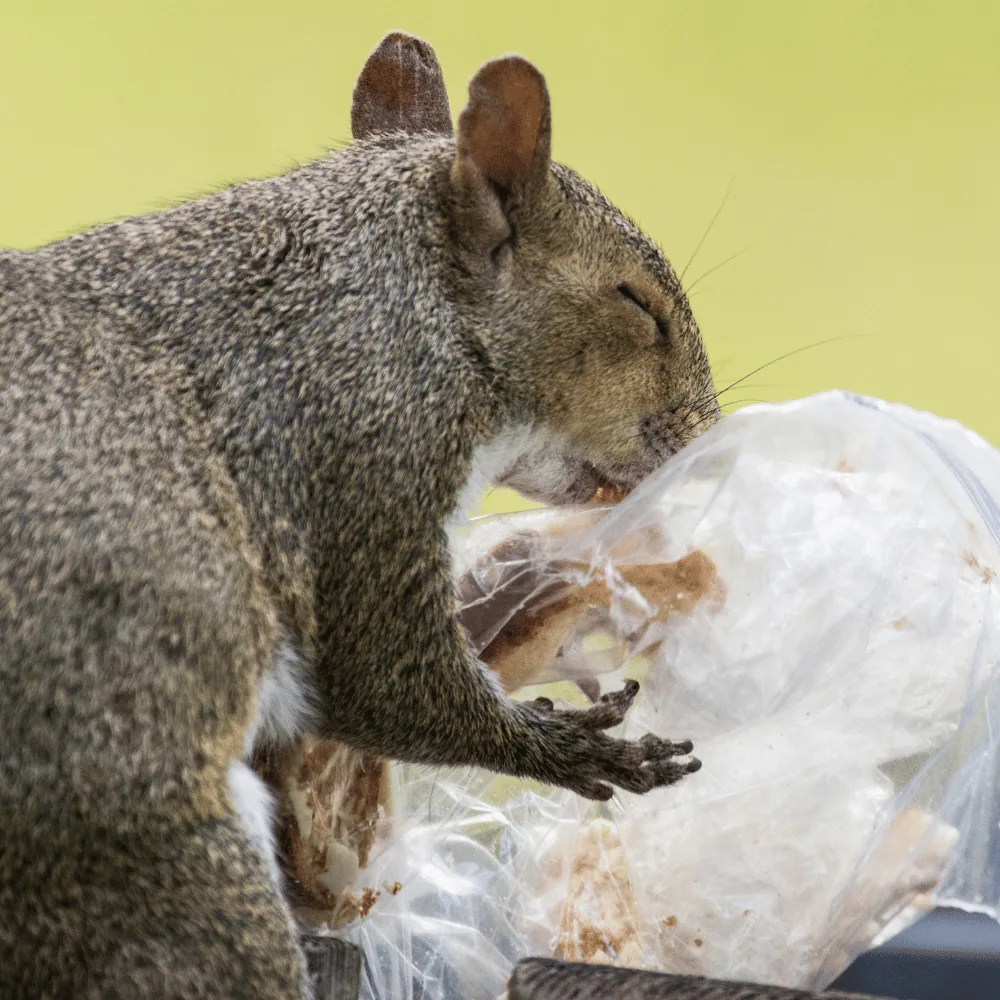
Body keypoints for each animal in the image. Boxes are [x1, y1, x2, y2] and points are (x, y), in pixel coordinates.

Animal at [0, 30, 720, 1000]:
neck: (411, 296)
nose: (705, 440)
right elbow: (381, 674)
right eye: (636, 304)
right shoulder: (371, 451)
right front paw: (575, 749)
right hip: (140, 857)